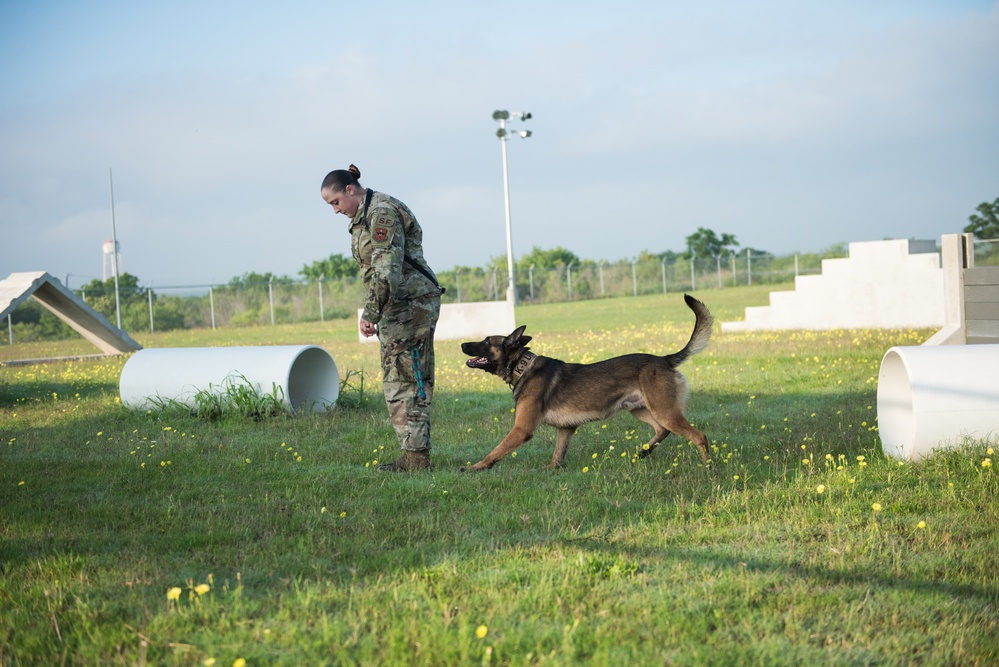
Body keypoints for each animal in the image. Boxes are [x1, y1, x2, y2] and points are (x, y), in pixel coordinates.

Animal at [464, 294, 716, 472]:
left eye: (486, 342)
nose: (462, 344)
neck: (522, 366)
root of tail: (664, 359)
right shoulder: (566, 429)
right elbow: (557, 455)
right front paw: (552, 469)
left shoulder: (521, 429)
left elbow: (495, 451)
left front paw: (475, 467)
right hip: (640, 409)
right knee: (662, 430)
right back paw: (642, 453)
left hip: (664, 411)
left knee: (698, 437)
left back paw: (709, 470)